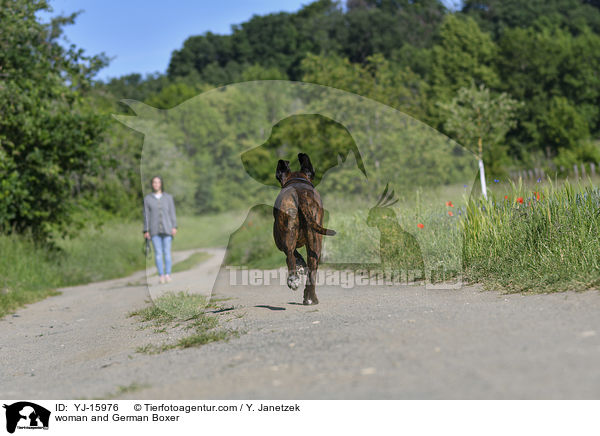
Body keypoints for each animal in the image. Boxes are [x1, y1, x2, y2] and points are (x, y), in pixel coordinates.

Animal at [274, 153, 336, 306]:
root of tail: (300, 192)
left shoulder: (279, 240)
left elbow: (293, 254)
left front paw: (300, 265)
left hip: (287, 231)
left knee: (290, 255)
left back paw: (293, 279)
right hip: (315, 238)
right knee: (313, 268)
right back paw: (310, 298)